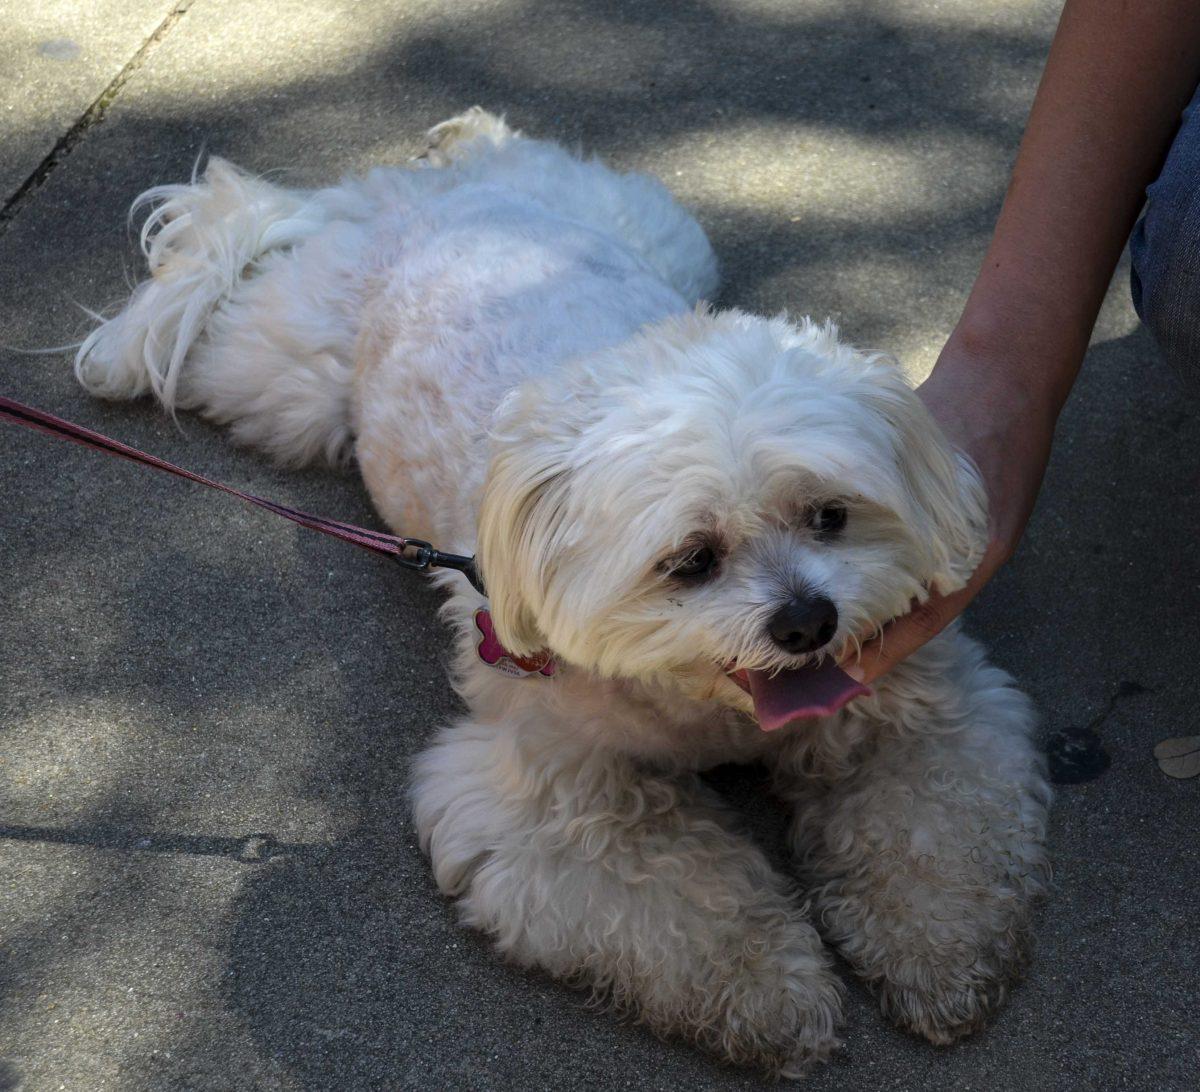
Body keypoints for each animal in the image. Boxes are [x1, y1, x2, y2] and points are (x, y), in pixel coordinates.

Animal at [77, 111, 1051, 1075]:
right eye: (691, 560)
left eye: (831, 515)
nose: (808, 622)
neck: (713, 710)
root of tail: (414, 199)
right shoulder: (543, 801)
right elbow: (684, 903)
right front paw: (773, 994)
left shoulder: (920, 706)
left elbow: (931, 829)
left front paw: (940, 951)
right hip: (280, 382)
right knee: (223, 263)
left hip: (659, 234)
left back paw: (462, 134)